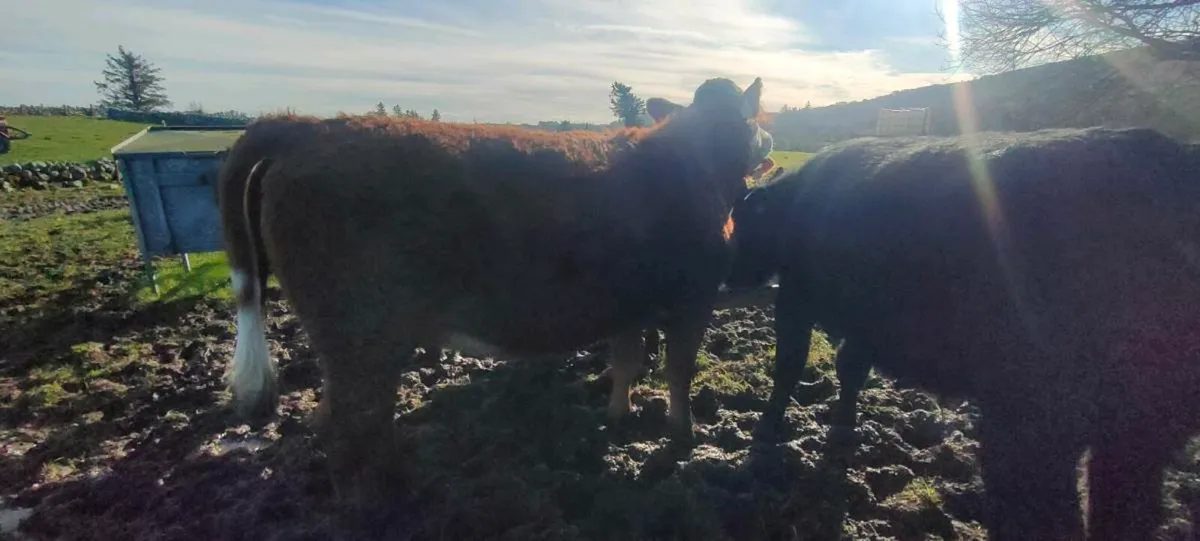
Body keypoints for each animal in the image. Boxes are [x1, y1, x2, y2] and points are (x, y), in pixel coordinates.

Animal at [216, 77, 773, 509]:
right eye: (758, 117)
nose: (768, 139)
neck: (697, 162)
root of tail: (309, 126)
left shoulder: (630, 305)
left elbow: (627, 360)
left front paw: (619, 417)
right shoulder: (694, 297)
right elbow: (678, 371)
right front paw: (683, 436)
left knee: (342, 416)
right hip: (361, 335)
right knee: (348, 426)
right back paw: (385, 501)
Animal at [724, 126, 1200, 541]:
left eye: (740, 222)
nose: (730, 275)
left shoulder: (796, 300)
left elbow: (790, 365)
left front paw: (766, 429)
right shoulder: (865, 323)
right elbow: (849, 370)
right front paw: (842, 428)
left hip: (1035, 423)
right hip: (1134, 437)